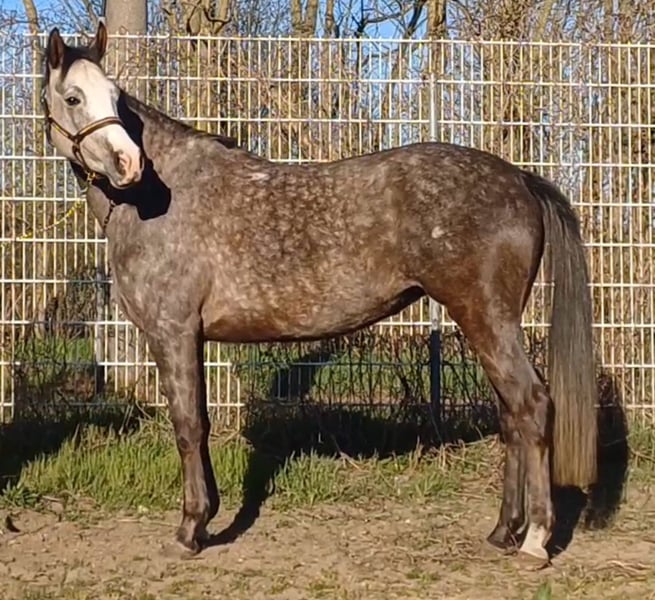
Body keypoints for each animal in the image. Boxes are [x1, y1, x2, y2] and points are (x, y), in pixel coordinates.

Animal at [40, 22, 598, 564]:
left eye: (115, 98)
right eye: (73, 97)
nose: (127, 162)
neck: (158, 198)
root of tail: (519, 179)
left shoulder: (172, 332)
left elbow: (188, 425)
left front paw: (189, 529)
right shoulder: (190, 338)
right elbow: (199, 421)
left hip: (486, 319)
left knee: (531, 406)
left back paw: (534, 541)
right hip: (490, 326)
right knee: (512, 417)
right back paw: (503, 532)